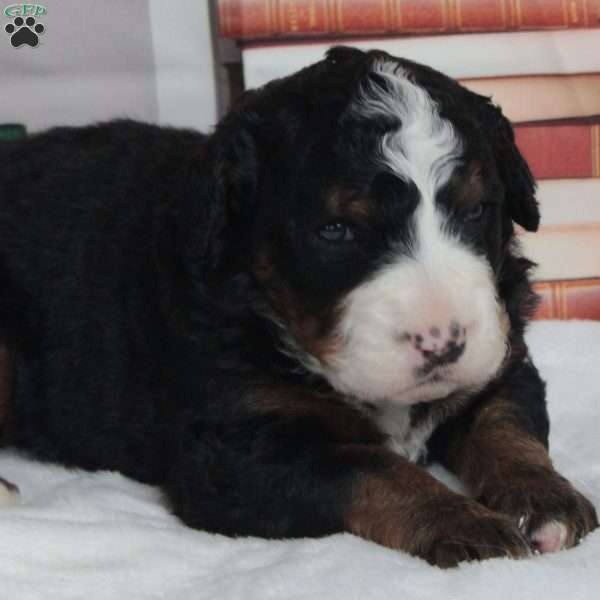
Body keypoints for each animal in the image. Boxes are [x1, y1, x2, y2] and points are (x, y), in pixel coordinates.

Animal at [0, 47, 596, 568]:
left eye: (475, 211)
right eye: (335, 230)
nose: (443, 343)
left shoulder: (501, 360)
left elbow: (508, 427)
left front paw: (547, 499)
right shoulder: (234, 450)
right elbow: (370, 467)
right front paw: (463, 522)